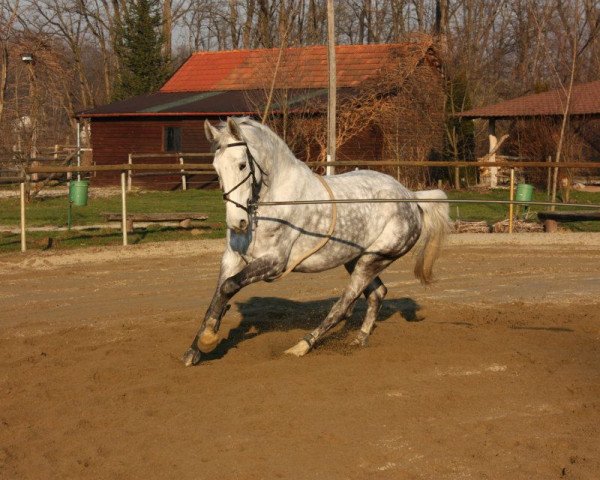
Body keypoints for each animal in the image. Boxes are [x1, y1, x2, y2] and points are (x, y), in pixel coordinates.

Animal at [183, 118, 450, 366]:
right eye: (216, 168)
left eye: (241, 165)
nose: (237, 222)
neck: (273, 201)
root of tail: (411, 196)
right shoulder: (232, 258)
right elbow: (218, 294)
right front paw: (195, 350)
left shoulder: (274, 262)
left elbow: (228, 287)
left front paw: (208, 339)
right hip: (356, 258)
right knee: (377, 294)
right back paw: (359, 339)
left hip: (374, 259)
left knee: (343, 305)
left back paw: (301, 346)